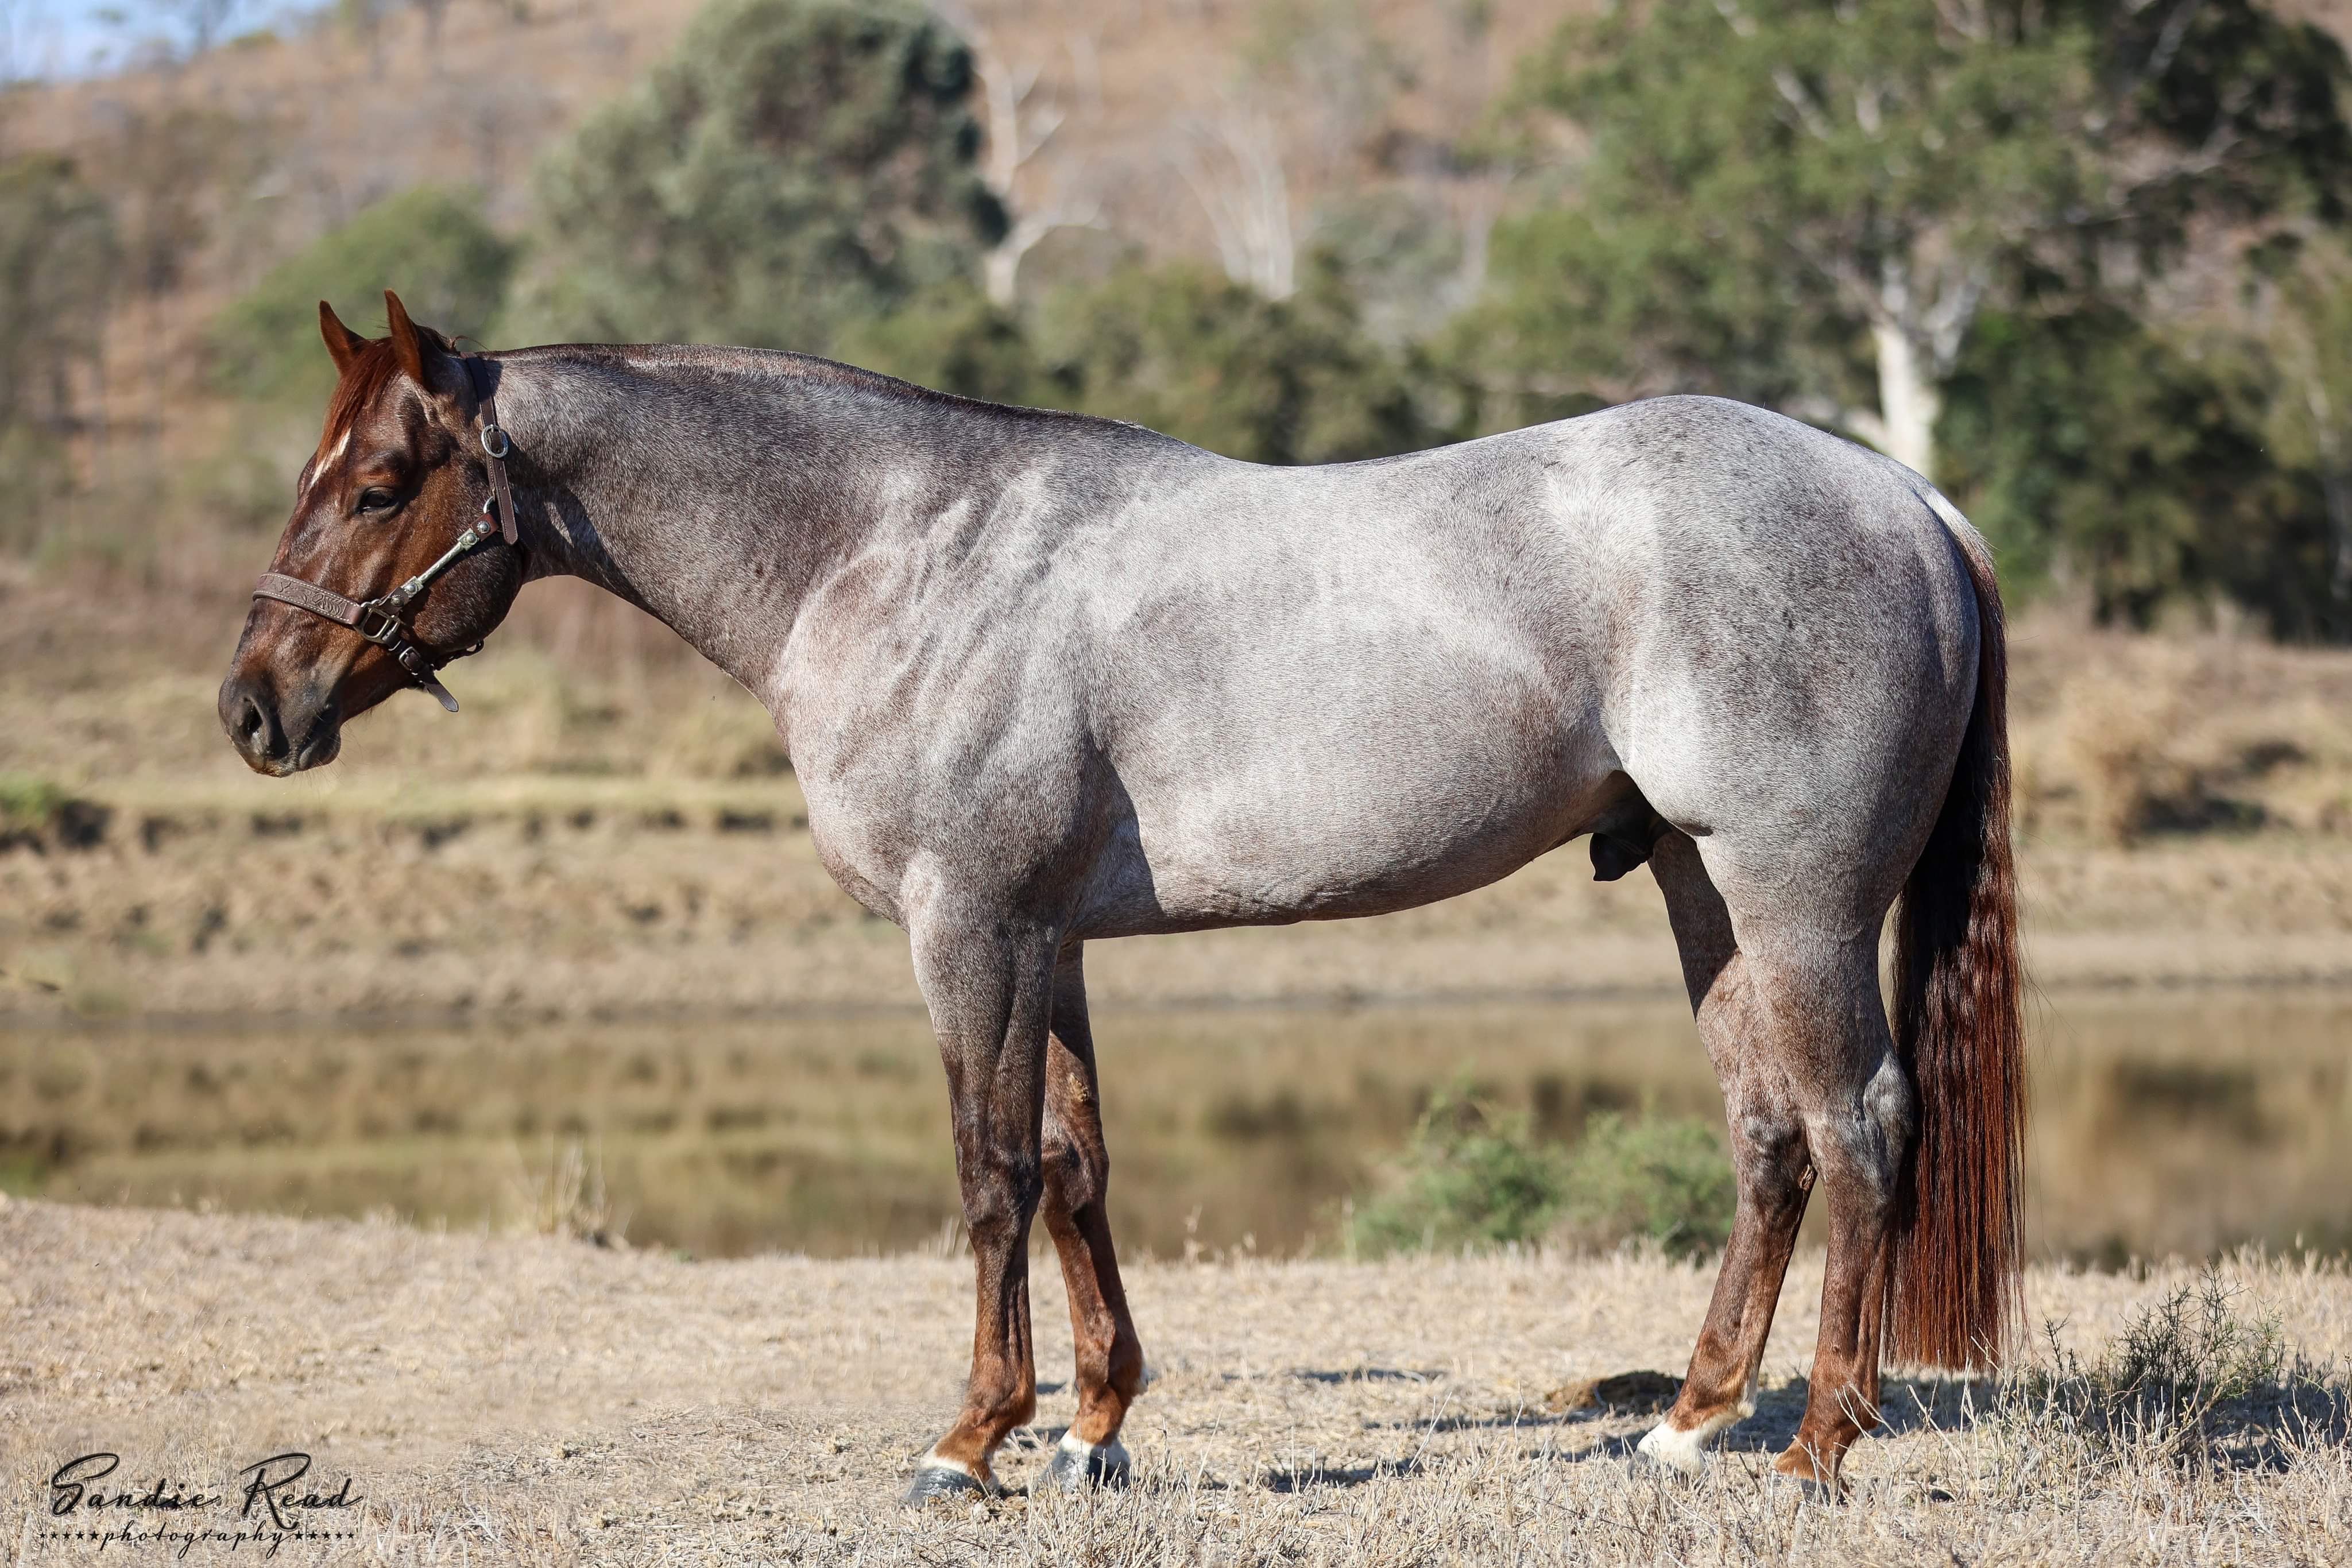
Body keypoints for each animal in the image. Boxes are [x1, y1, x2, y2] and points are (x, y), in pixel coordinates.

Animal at [219, 291, 2024, 1503]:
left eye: (378, 485)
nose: (253, 709)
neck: (894, 553)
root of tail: (1906, 497)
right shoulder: (1053, 939)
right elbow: (1078, 1166)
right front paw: (1092, 1430)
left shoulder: (968, 928)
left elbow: (991, 1173)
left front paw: (969, 1443)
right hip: (1701, 888)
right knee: (1771, 1137)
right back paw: (1692, 1420)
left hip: (1795, 897)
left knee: (1861, 1124)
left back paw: (1815, 1450)